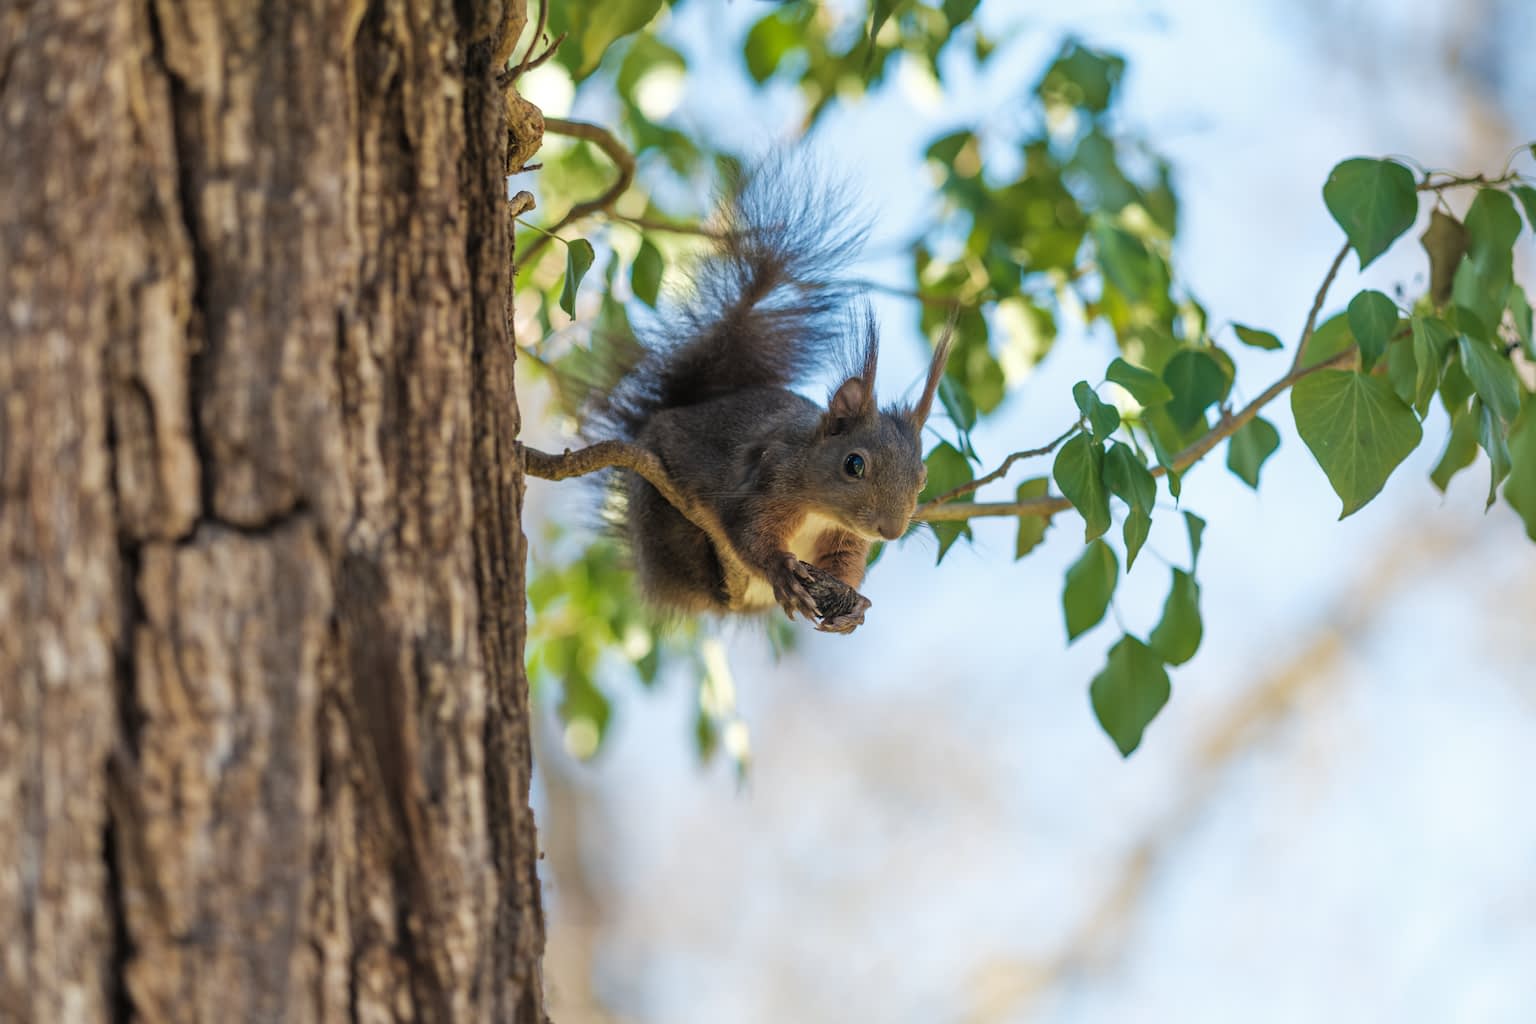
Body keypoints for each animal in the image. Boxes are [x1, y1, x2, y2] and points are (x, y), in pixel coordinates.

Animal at [587, 161, 951, 635]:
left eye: (922, 479)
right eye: (854, 464)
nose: (890, 531)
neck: (821, 508)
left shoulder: (844, 537)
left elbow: (844, 564)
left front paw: (853, 604)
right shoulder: (769, 477)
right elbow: (749, 532)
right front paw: (782, 572)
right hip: (658, 511)